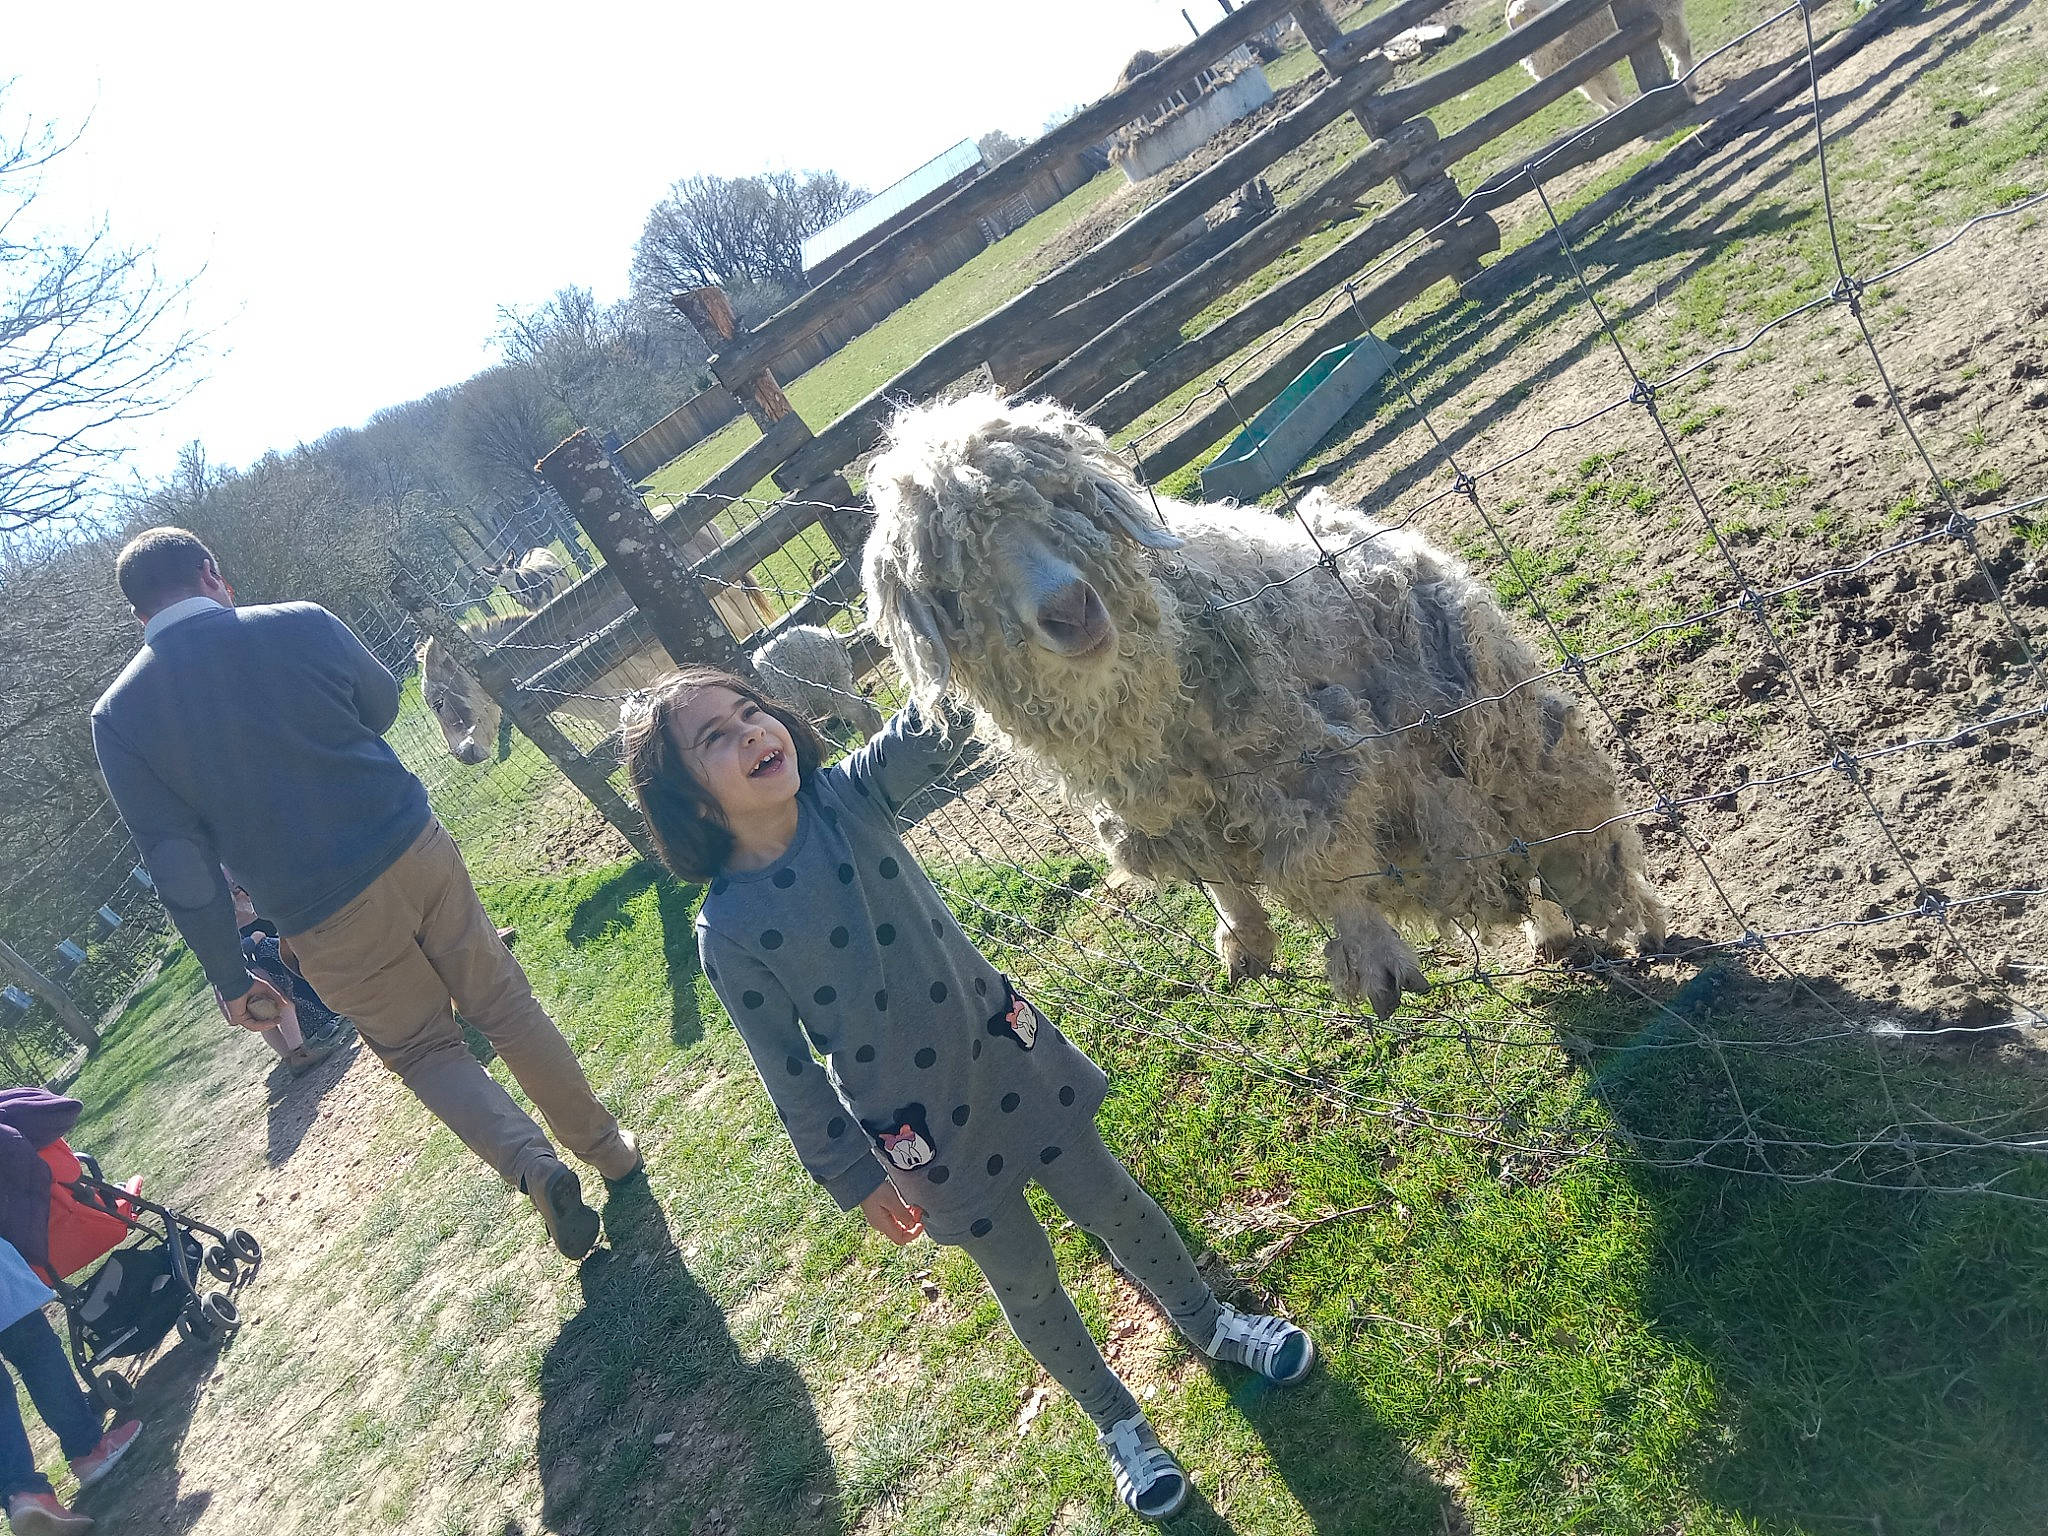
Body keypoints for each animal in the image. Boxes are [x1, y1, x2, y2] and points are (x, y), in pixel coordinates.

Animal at [861, 393, 1665, 1020]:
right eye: (946, 579)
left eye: (1065, 501)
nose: (1070, 610)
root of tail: (1371, 531)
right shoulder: (1165, 808)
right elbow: (1216, 874)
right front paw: (1243, 941)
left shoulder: (1307, 756)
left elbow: (1321, 855)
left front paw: (1371, 957)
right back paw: (1552, 934)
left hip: (1498, 728)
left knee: (1564, 827)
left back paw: (1630, 924)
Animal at [1506, 0, 1694, 116]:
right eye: (1531, 12)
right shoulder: (1571, 76)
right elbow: (1595, 96)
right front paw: (1610, 110)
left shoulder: (1597, 59)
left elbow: (1612, 90)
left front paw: (1623, 107)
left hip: (1663, 10)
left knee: (1681, 48)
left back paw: (1686, 82)